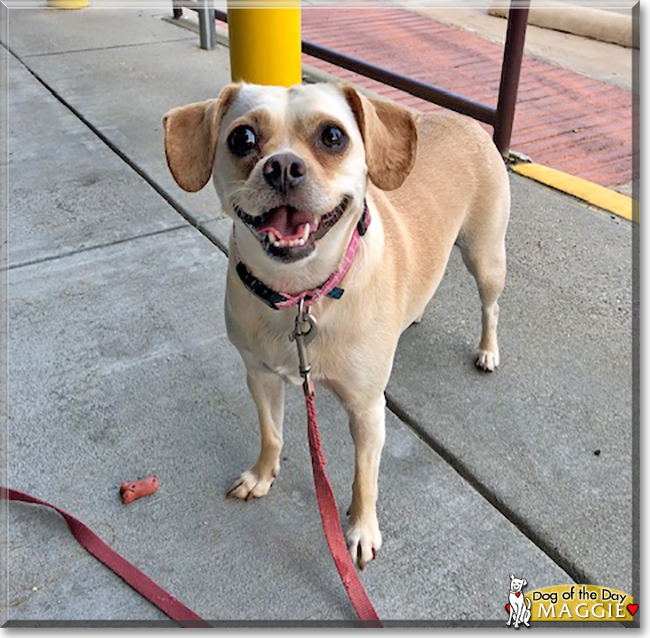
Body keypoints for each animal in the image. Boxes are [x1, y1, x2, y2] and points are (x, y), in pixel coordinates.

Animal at [162, 84, 506, 568]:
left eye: (332, 136)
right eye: (242, 139)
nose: (283, 167)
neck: (301, 294)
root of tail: (463, 120)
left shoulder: (366, 410)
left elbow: (364, 477)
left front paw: (361, 530)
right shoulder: (260, 377)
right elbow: (271, 433)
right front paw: (263, 475)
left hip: (486, 257)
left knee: (490, 306)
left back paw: (488, 350)